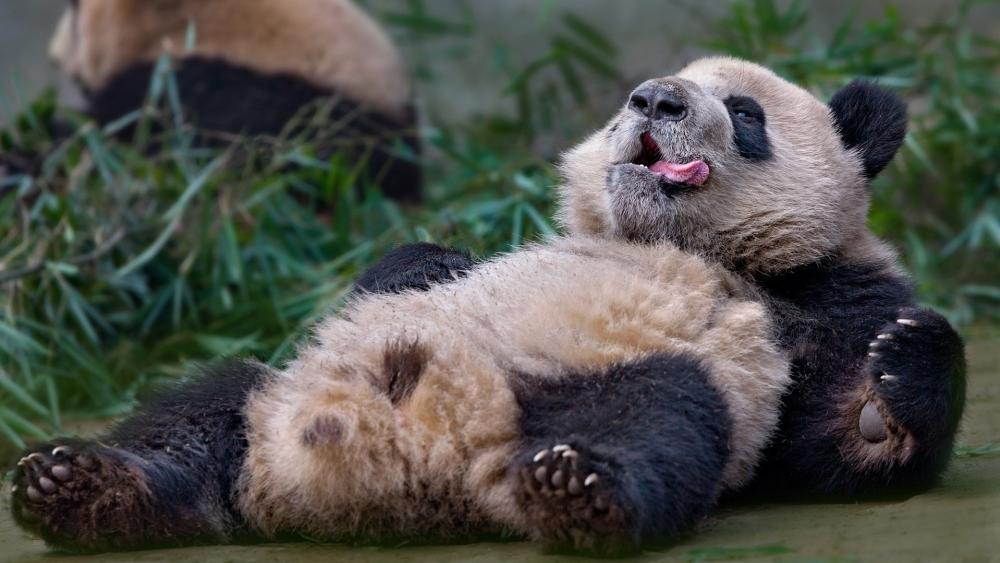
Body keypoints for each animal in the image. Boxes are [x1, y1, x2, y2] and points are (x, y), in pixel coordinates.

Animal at [8, 57, 966, 555]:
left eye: (745, 112)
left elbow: (841, 432)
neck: (682, 245)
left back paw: (582, 491)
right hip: (279, 390)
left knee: (663, 413)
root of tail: (409, 468)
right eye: (635, 98)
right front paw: (434, 258)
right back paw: (87, 487)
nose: (655, 100)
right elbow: (402, 271)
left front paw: (905, 364)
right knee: (204, 406)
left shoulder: (814, 296)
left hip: (623, 379)